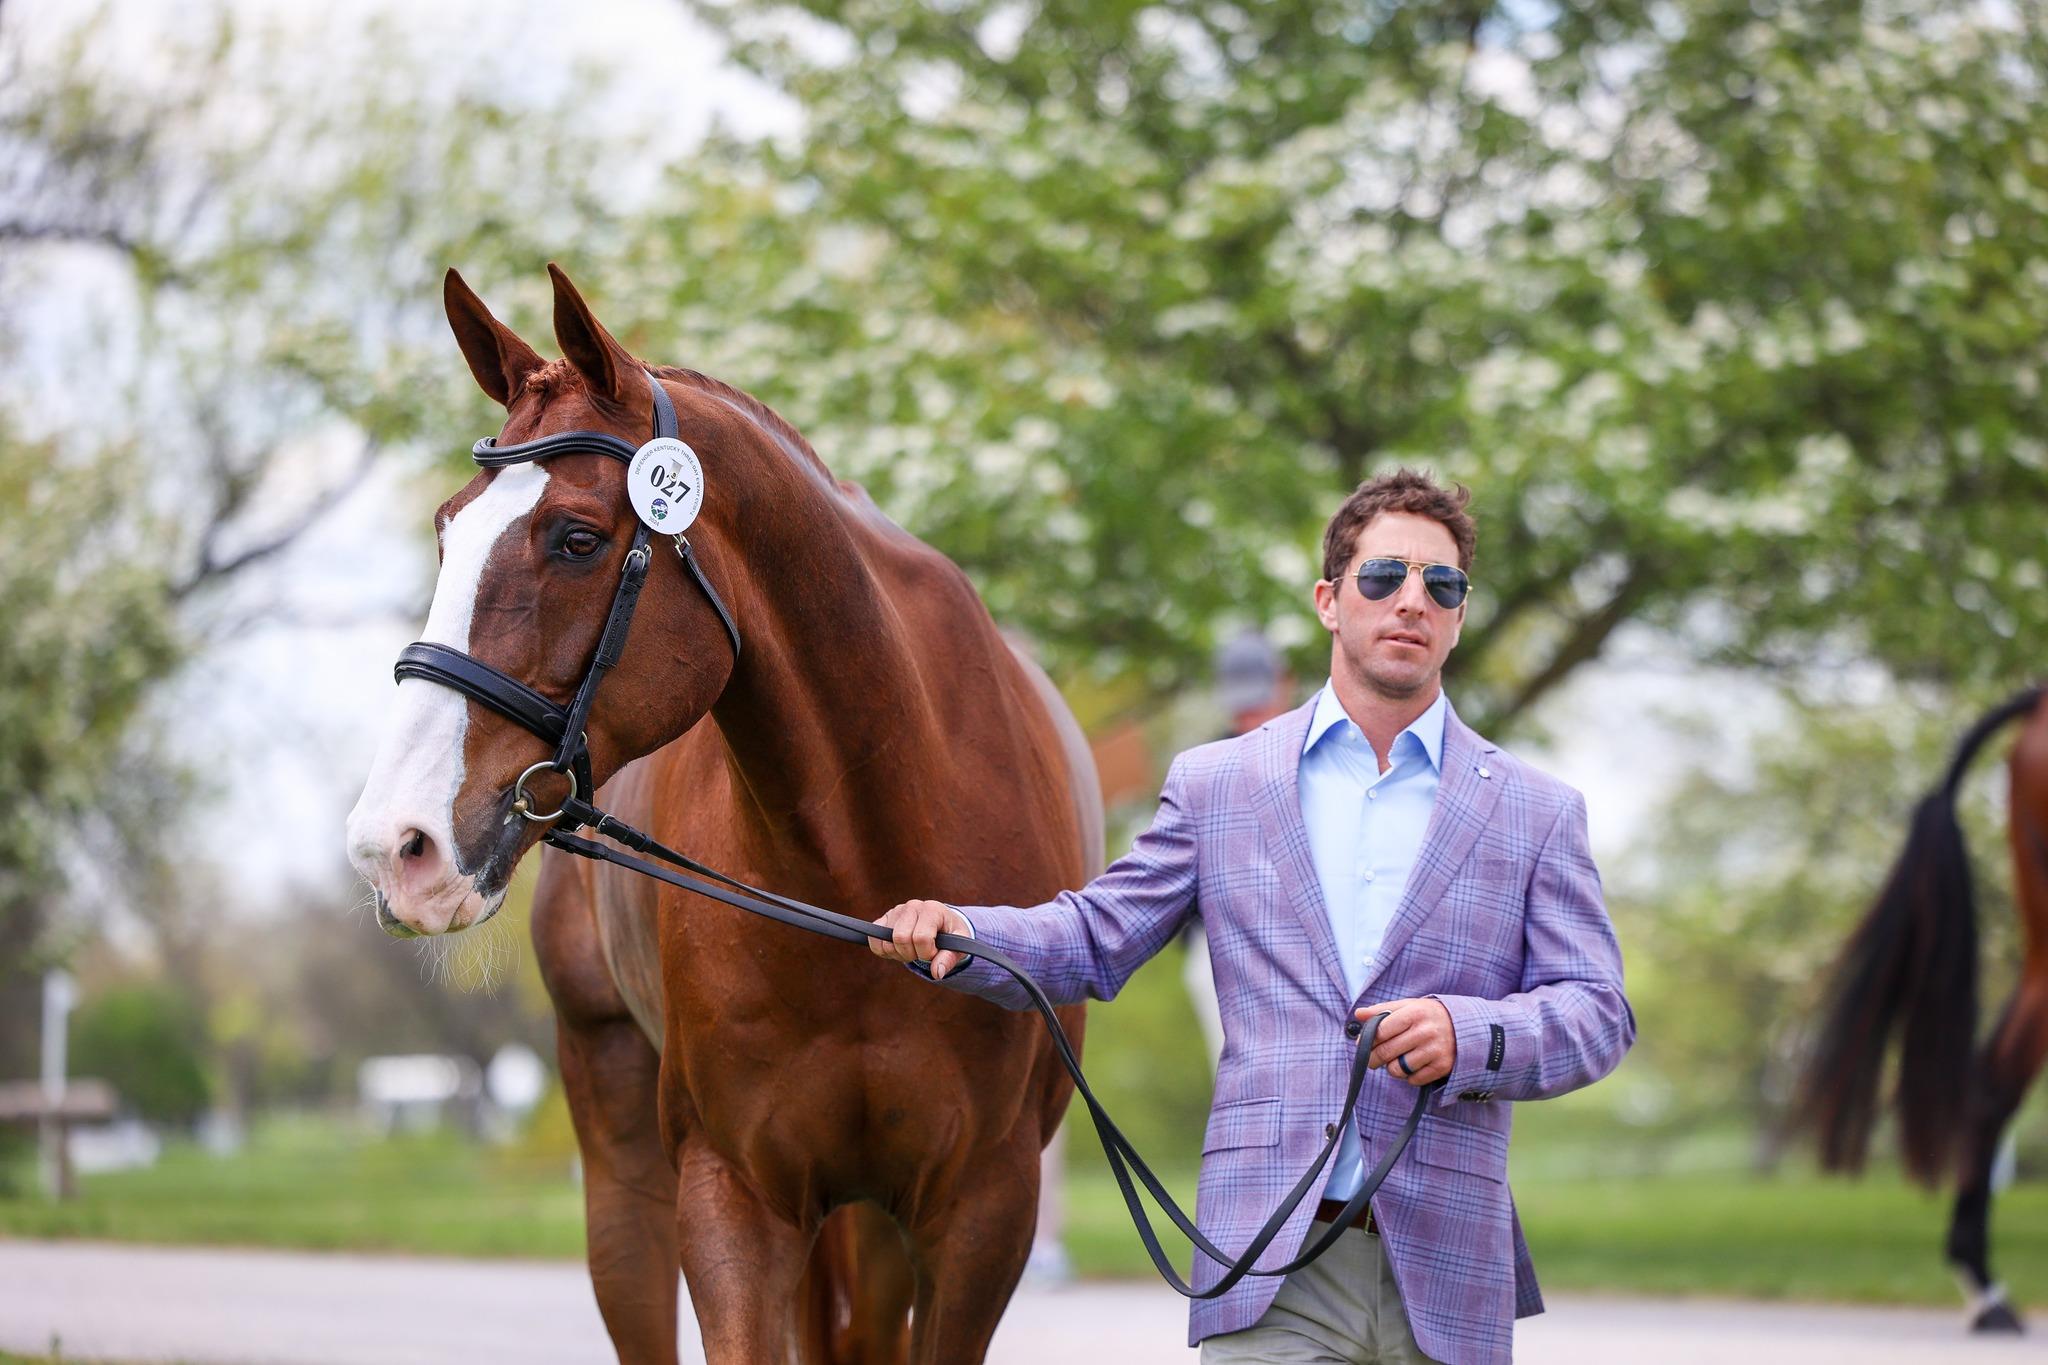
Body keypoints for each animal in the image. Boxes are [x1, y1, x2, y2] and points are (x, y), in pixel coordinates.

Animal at [344, 261, 1097, 1358]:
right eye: (448, 527)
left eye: (577, 538)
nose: (396, 845)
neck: (863, 869)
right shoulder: (731, 1194)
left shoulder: (981, 1214)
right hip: (623, 1157)